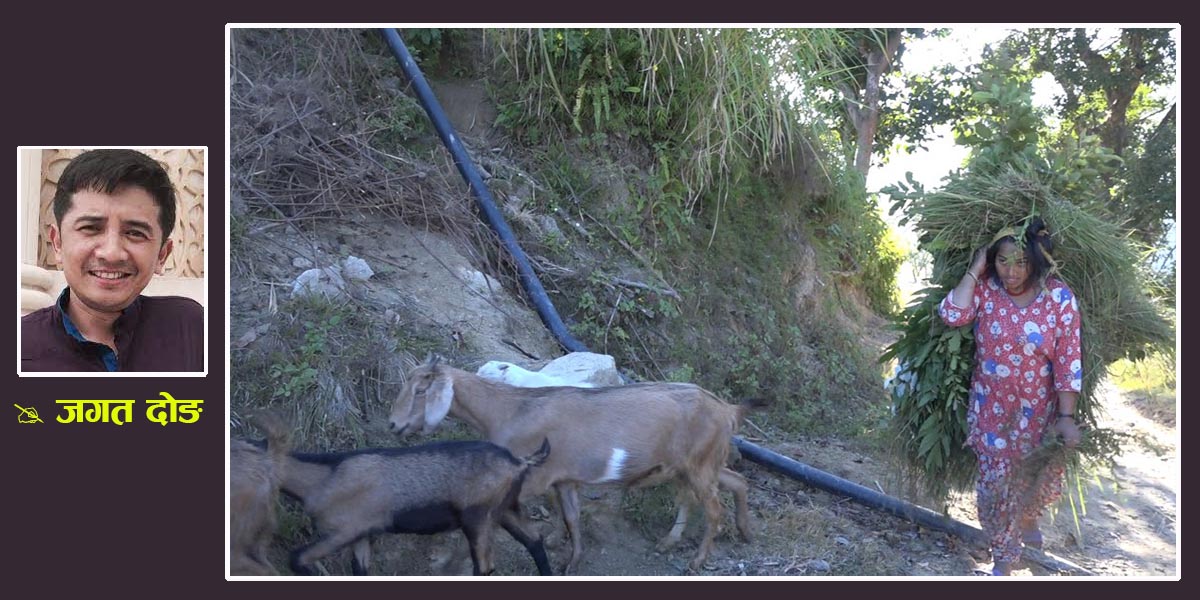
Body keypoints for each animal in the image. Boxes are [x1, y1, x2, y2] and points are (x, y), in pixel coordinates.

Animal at [388, 355, 753, 571]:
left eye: (420, 390)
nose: (393, 424)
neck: (510, 410)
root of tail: (728, 410)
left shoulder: (529, 478)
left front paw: (444, 561)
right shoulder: (564, 479)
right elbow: (572, 518)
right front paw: (572, 561)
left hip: (699, 466)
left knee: (713, 509)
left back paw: (698, 559)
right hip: (696, 466)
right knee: (731, 484)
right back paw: (732, 533)